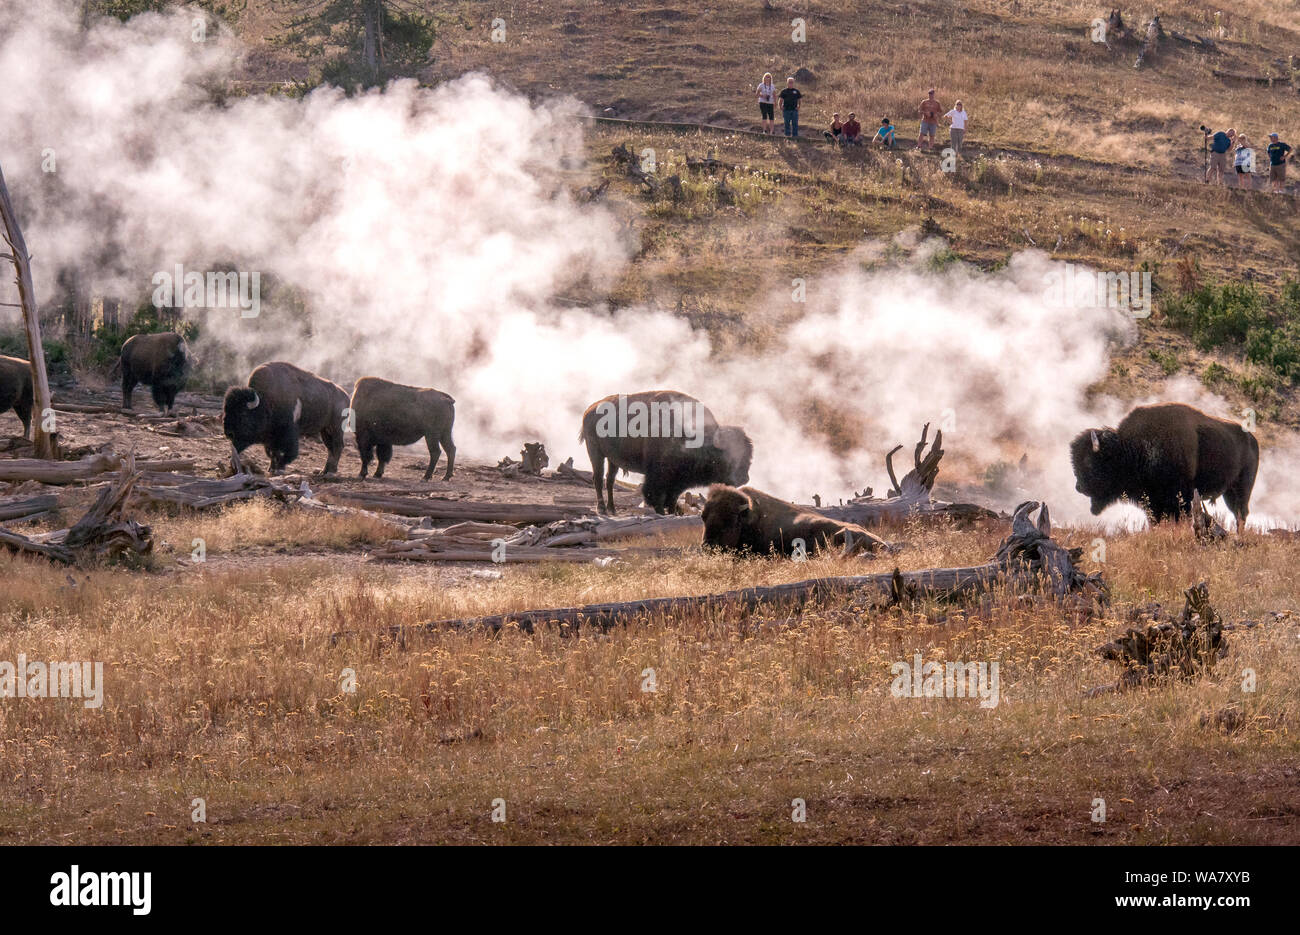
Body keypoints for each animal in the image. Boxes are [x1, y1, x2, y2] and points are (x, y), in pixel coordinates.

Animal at [579, 390, 754, 514]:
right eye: (728, 456)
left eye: (748, 454)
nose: (743, 478)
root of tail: (589, 410)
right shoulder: (657, 477)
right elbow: (656, 496)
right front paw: (661, 513)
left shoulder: (678, 481)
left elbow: (672, 498)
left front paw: (671, 512)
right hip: (595, 452)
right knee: (598, 478)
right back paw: (602, 509)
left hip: (612, 459)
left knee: (609, 480)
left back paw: (612, 509)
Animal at [1066, 403, 1258, 525]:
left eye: (1090, 463)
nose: (1079, 487)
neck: (1132, 449)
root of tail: (1252, 439)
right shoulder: (1154, 502)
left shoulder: (1180, 499)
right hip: (1229, 492)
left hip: (1241, 489)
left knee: (1241, 515)